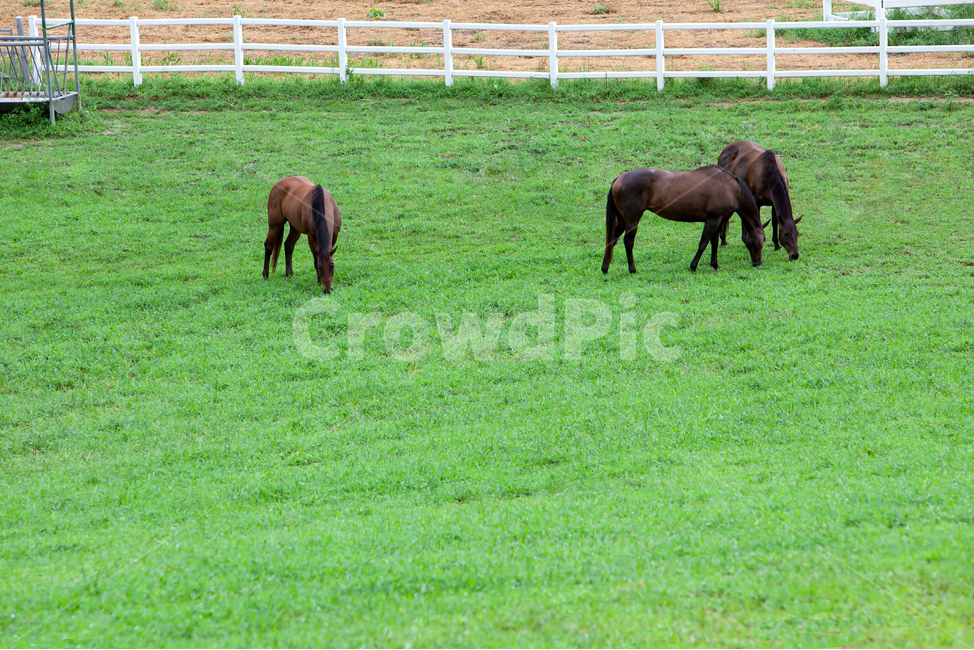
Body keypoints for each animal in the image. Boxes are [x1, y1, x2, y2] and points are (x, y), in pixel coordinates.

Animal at [602, 165, 765, 274]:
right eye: (762, 240)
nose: (758, 263)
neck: (730, 187)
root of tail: (619, 178)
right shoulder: (712, 220)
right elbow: (703, 243)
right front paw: (693, 266)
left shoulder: (718, 220)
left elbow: (714, 242)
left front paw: (715, 264)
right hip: (632, 220)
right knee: (628, 242)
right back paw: (632, 269)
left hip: (623, 220)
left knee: (612, 240)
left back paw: (605, 267)